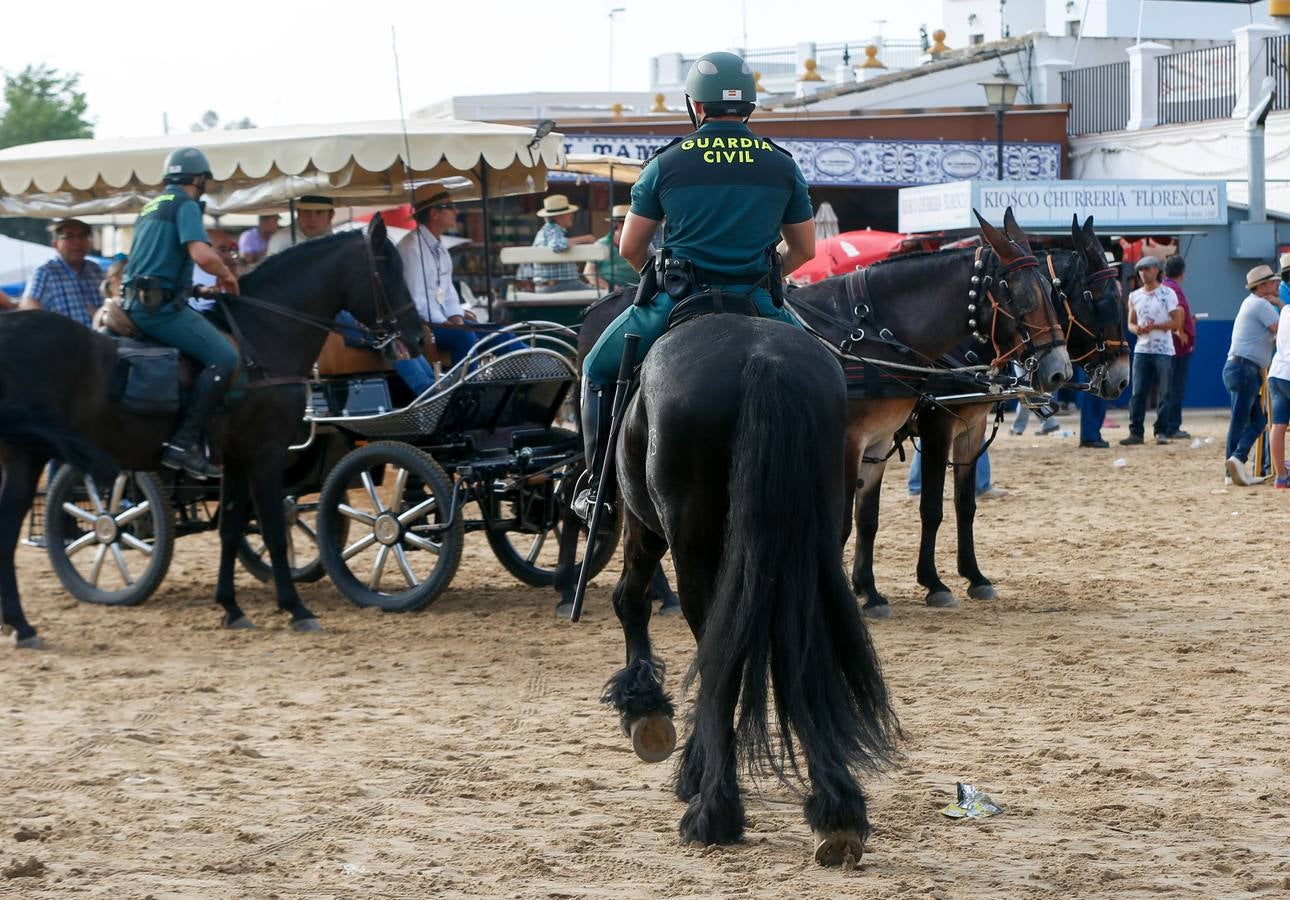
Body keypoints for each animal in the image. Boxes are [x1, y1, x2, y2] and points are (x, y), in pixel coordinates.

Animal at [0, 217, 423, 644]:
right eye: (387, 268)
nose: (419, 335)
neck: (262, 335)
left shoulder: (236, 459)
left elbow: (231, 529)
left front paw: (231, 607)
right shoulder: (265, 453)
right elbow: (273, 528)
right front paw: (295, 608)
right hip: (31, 457)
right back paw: (22, 624)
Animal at [595, 313, 897, 861]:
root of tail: (764, 360)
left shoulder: (643, 526)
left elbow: (630, 602)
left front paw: (643, 706)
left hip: (690, 548)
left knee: (717, 657)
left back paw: (714, 806)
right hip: (813, 543)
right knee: (804, 654)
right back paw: (836, 811)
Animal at [908, 216, 1130, 606]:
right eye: (1104, 302)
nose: (1122, 379)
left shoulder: (971, 428)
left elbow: (964, 505)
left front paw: (974, 576)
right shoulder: (937, 428)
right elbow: (931, 507)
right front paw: (933, 582)